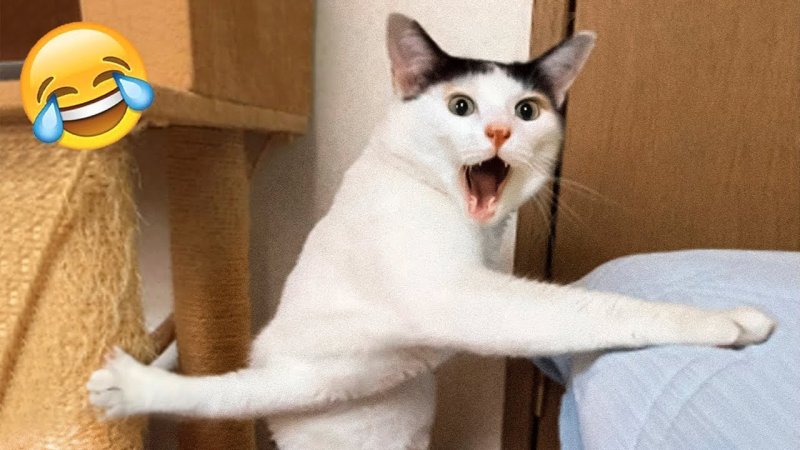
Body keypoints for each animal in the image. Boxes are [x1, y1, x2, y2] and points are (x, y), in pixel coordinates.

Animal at [87, 13, 776, 450]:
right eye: (460, 106)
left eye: (527, 111)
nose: (499, 131)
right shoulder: (457, 295)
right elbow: (594, 309)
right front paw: (726, 321)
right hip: (298, 377)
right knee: (218, 397)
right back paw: (133, 387)